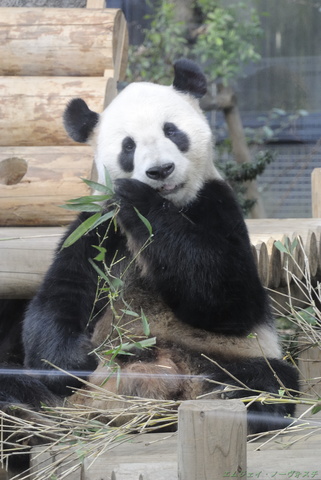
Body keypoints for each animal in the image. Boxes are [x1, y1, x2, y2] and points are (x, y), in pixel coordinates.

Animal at [3, 58, 298, 434]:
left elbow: (227, 298)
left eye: (172, 131)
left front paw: (139, 199)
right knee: (17, 383)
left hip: (227, 357)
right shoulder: (98, 228)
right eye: (128, 146)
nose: (160, 170)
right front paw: (72, 360)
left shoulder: (215, 203)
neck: (172, 205)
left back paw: (245, 404)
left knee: (267, 381)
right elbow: (60, 295)